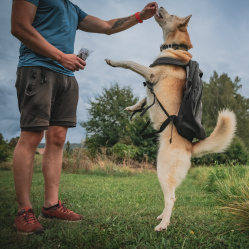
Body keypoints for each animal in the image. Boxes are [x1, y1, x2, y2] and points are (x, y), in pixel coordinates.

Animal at [104, 6, 235, 231]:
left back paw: (163, 225)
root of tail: (190, 147)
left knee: (171, 198)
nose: (159, 6)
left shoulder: (151, 74)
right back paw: (161, 217)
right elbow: (143, 98)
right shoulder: (150, 82)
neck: (176, 47)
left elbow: (130, 62)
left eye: (172, 15)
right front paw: (133, 107)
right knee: (169, 198)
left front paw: (113, 62)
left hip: (163, 170)